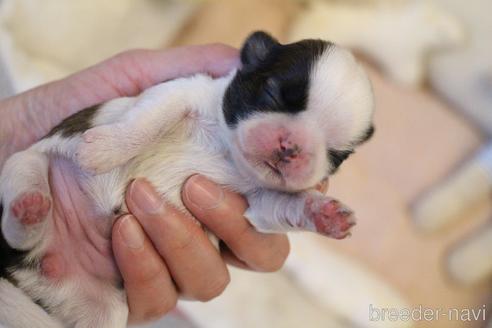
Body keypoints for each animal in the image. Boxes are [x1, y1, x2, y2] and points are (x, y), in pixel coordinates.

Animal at [0, 31, 372, 328]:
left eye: (335, 154)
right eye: (272, 94)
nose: (291, 147)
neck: (227, 150)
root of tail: (27, 273)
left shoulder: (258, 200)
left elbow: (284, 205)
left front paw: (325, 214)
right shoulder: (178, 92)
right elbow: (145, 123)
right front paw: (105, 150)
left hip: (101, 316)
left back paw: (31, 211)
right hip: (25, 162)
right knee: (18, 216)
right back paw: (29, 207)